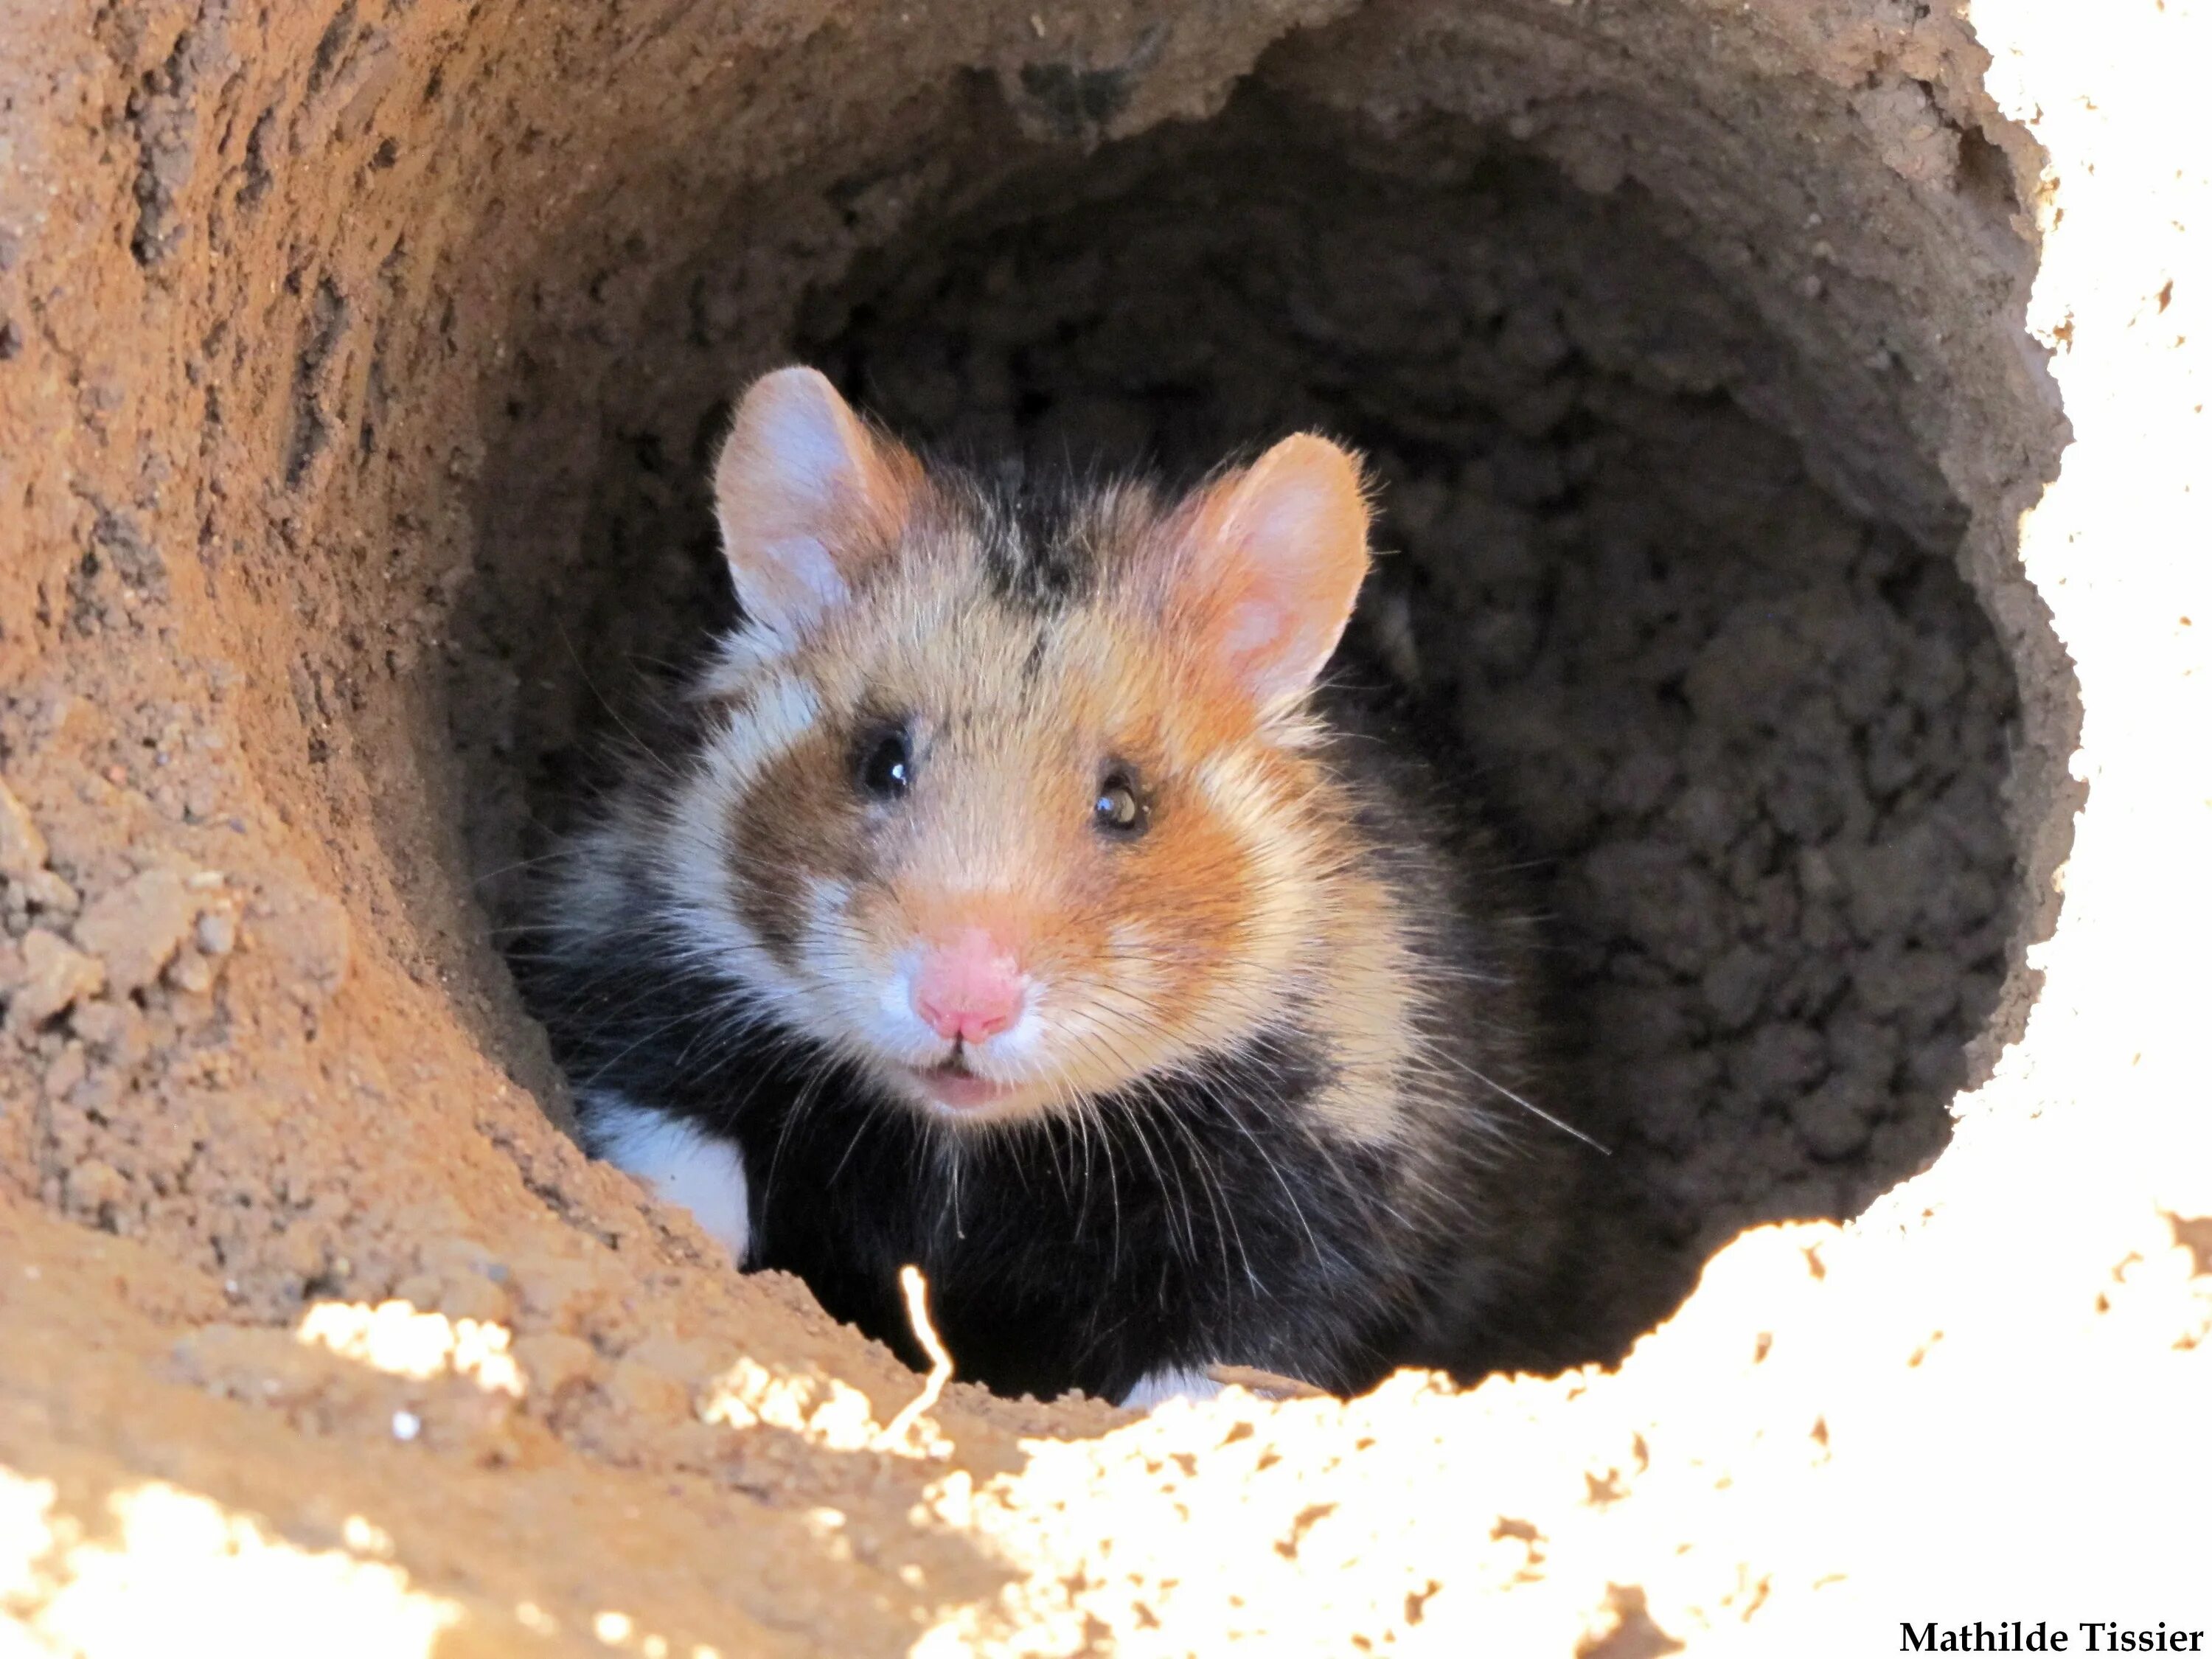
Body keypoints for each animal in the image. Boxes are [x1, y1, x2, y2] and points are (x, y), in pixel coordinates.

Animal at [526, 369, 1584, 1407]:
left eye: (1124, 802)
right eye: (880, 760)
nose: (963, 1009)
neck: (966, 1143)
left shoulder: (1326, 1160)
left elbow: (1223, 1359)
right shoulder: (630, 961)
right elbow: (678, 1151)